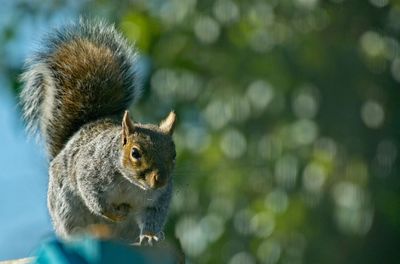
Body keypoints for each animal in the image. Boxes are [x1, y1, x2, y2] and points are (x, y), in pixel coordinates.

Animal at [19, 19, 177, 245]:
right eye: (135, 153)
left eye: (174, 155)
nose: (160, 180)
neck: (132, 185)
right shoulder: (90, 173)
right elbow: (94, 199)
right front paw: (116, 213)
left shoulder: (157, 200)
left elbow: (153, 217)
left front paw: (150, 236)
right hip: (65, 211)